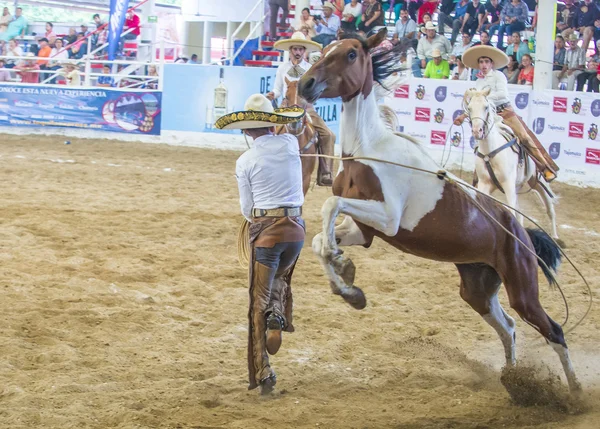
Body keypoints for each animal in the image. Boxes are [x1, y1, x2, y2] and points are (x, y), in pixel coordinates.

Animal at [466, 88, 560, 241]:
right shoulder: (484, 184)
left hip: (538, 182)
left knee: (549, 208)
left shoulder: (508, 183)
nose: (477, 131)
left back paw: (555, 236)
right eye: (469, 108)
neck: (490, 152)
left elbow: (510, 210)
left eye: (485, 107)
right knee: (520, 213)